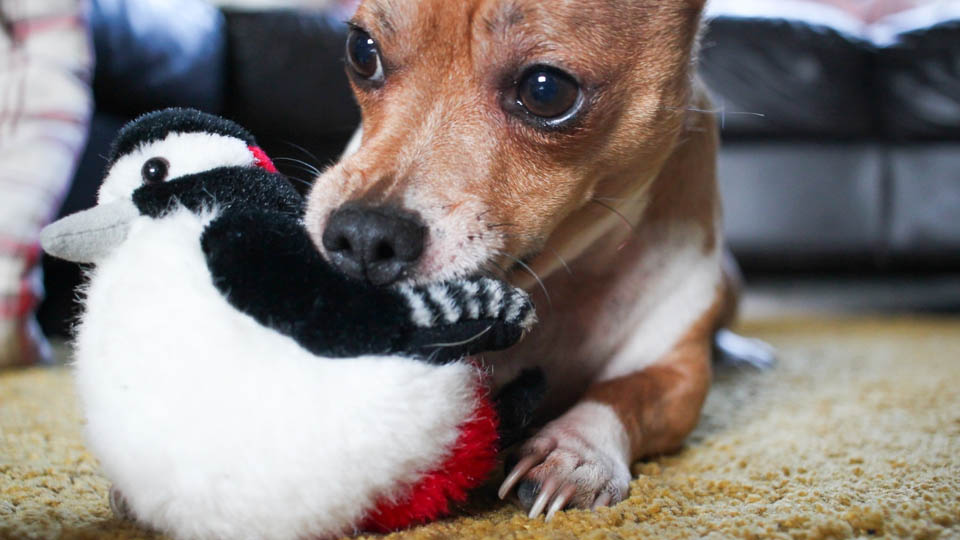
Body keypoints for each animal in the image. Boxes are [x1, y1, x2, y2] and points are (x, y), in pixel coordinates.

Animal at [304, 0, 768, 520]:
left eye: (545, 91)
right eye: (361, 52)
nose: (364, 236)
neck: (558, 281)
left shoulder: (677, 374)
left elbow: (623, 394)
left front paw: (577, 452)